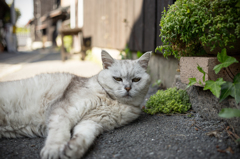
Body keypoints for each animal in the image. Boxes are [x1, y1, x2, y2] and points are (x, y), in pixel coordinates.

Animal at [0, 50, 150, 158]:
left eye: (136, 80)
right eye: (117, 79)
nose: (128, 88)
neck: (113, 102)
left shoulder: (92, 122)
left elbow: (85, 137)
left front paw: (72, 150)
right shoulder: (63, 110)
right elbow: (59, 133)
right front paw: (54, 150)